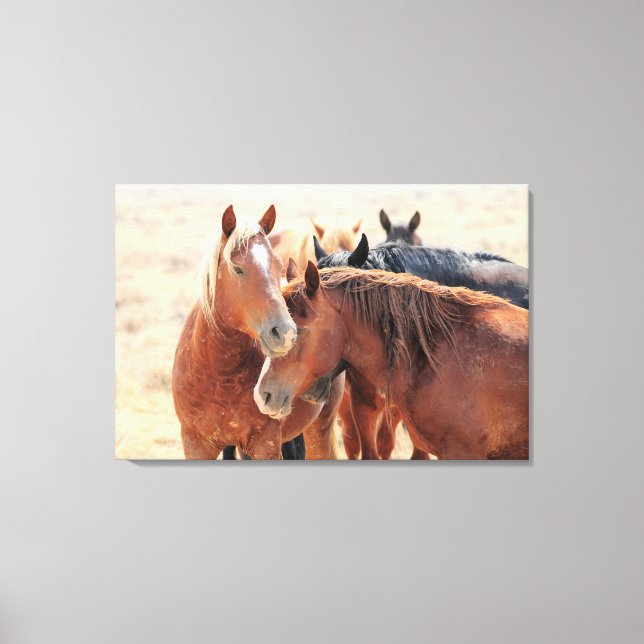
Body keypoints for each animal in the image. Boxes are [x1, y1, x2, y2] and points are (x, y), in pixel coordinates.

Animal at [172, 205, 342, 460]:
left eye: (277, 265)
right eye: (238, 269)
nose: (286, 333)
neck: (219, 375)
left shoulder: (265, 444)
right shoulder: (196, 445)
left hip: (320, 429)